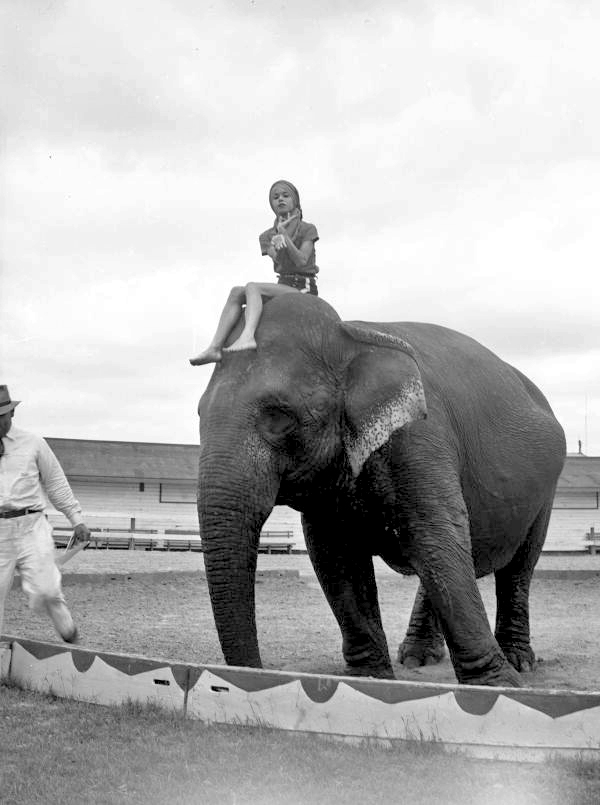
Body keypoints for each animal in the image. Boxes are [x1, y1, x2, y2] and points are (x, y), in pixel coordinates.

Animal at [197, 294, 566, 687]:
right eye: (199, 414)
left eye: (280, 415)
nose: (250, 675)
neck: (351, 338)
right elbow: (335, 556)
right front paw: (369, 679)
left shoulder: (420, 437)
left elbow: (435, 538)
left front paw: (501, 687)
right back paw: (418, 657)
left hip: (546, 489)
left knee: (518, 567)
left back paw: (518, 661)